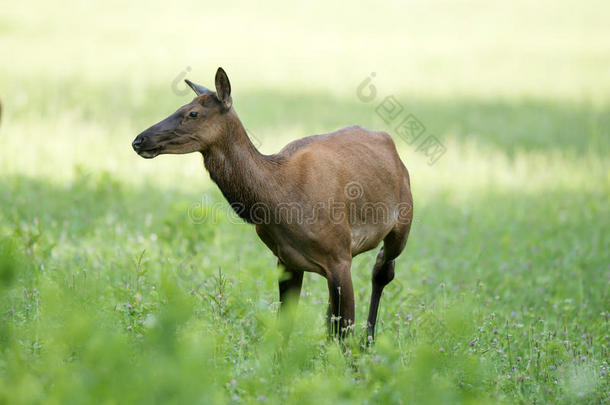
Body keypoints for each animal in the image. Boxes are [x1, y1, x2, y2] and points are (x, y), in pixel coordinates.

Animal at [131, 68, 410, 340]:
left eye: (192, 113)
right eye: (182, 107)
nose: (139, 140)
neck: (280, 199)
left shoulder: (339, 255)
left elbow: (345, 332)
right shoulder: (286, 260)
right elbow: (285, 327)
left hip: (402, 221)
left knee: (382, 269)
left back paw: (369, 341)